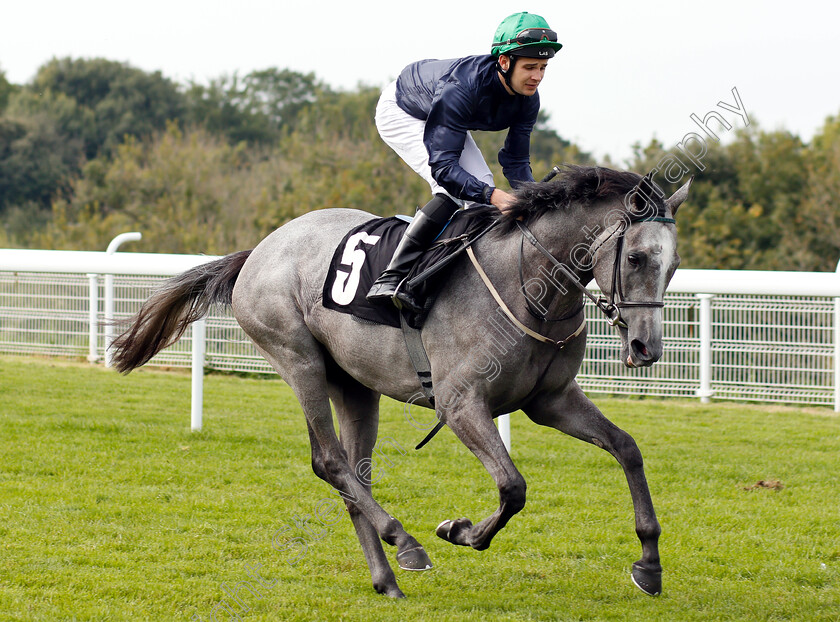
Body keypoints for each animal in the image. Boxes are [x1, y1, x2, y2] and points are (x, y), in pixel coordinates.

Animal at [111, 165, 688, 600]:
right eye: (636, 257)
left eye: (674, 264)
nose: (647, 348)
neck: (527, 286)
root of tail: (257, 251)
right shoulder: (460, 405)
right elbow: (513, 486)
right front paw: (459, 531)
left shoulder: (551, 401)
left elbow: (627, 448)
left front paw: (649, 565)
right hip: (298, 360)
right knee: (329, 462)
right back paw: (406, 543)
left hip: (354, 384)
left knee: (354, 476)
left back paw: (386, 577)